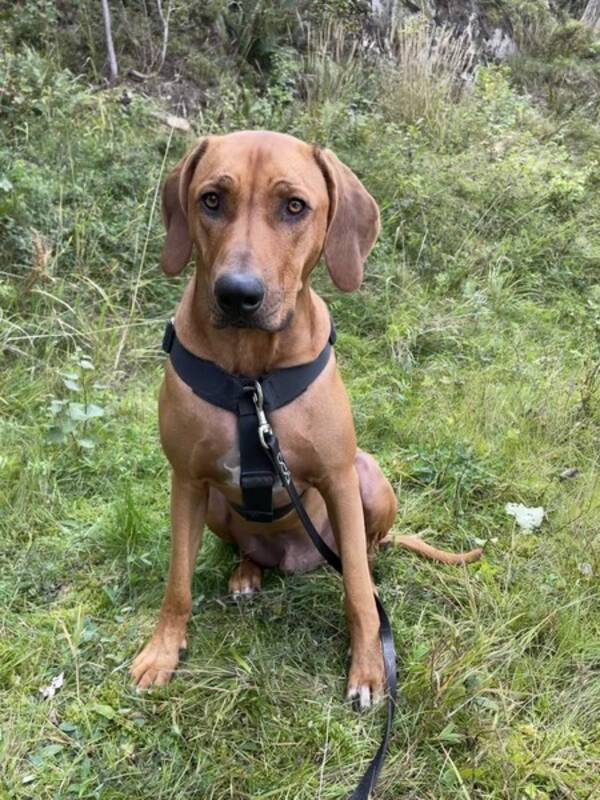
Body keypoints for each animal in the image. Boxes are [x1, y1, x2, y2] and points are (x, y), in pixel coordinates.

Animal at [131, 133, 482, 712]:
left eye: (295, 206)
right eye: (211, 200)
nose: (237, 294)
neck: (251, 377)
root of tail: (297, 559)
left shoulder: (339, 478)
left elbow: (357, 591)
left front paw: (369, 669)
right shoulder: (186, 481)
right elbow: (177, 582)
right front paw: (162, 652)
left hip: (368, 477)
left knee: (365, 555)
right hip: (218, 508)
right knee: (251, 549)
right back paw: (248, 572)